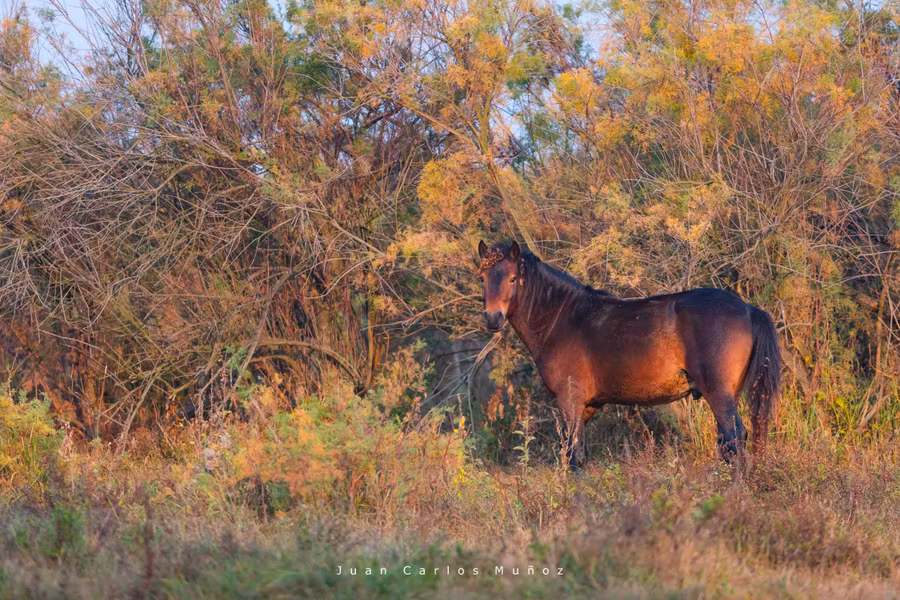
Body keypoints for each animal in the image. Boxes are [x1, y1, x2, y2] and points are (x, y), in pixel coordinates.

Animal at [477, 240, 781, 468]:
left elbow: (575, 456)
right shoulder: (587, 406)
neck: (562, 318)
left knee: (734, 437)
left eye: (513, 278)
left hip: (718, 392)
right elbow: (574, 454)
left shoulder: (570, 400)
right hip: (729, 393)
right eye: (481, 278)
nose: (493, 318)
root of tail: (747, 308)